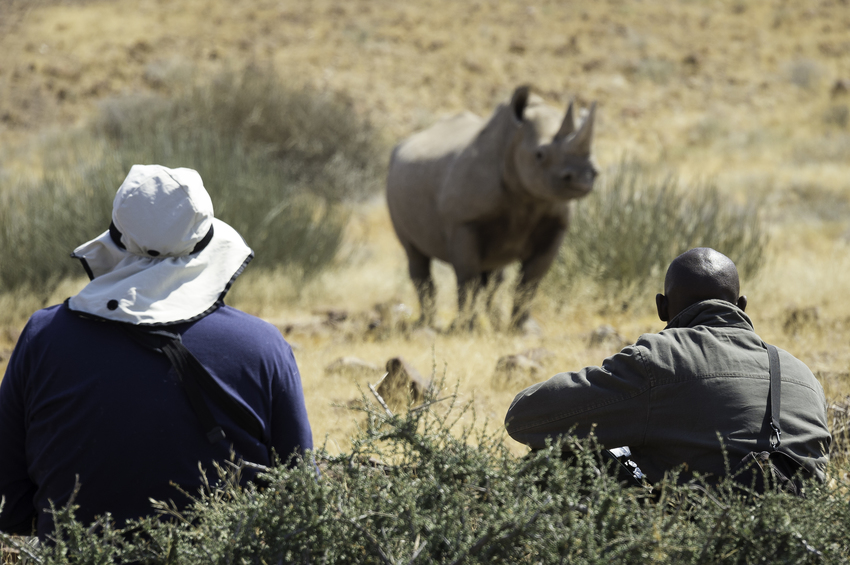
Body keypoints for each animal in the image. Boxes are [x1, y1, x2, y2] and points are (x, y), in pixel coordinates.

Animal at [386, 86, 597, 330]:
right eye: (539, 154)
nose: (583, 177)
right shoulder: (464, 223)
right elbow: (467, 276)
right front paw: (463, 329)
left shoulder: (556, 224)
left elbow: (531, 280)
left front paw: (524, 329)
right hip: (392, 179)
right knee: (416, 256)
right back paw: (427, 324)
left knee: (494, 274)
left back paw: (490, 321)